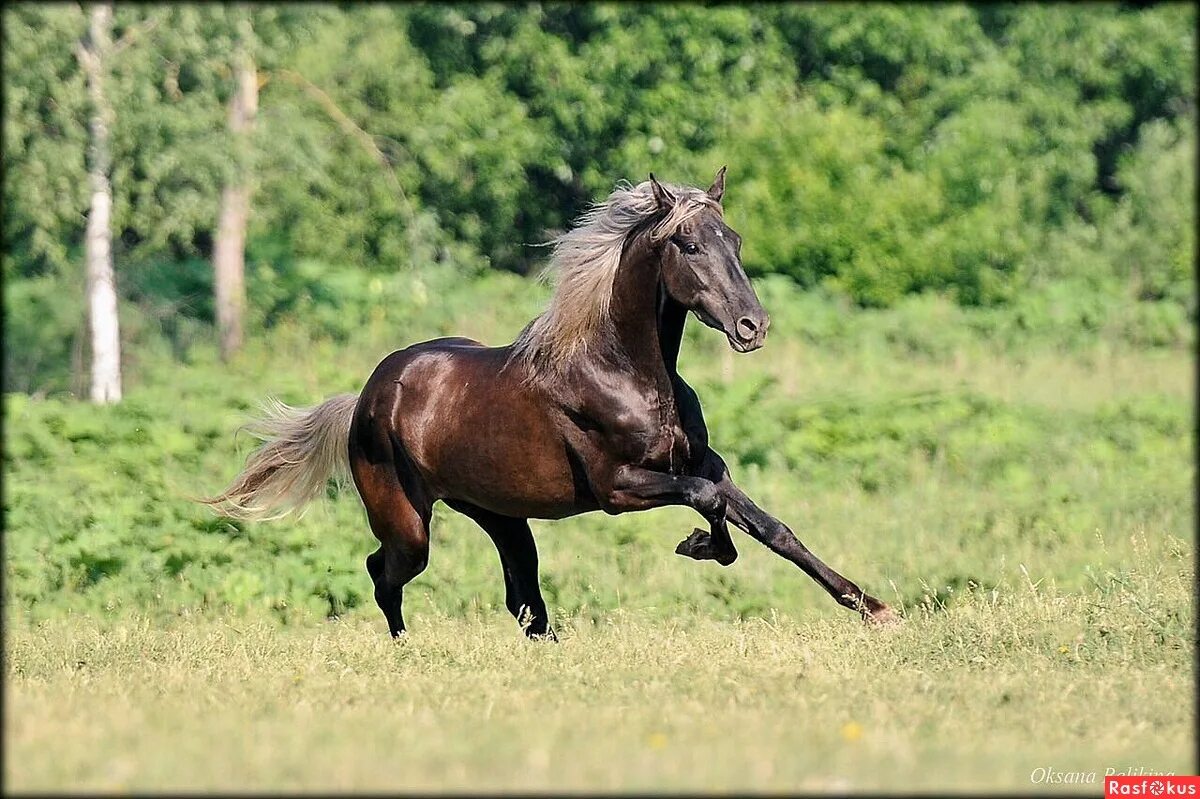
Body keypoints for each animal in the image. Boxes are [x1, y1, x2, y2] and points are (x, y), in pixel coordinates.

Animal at [204, 166, 902, 633]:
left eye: (733, 239)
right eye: (687, 244)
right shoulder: (619, 488)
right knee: (384, 572)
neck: (626, 374)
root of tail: (367, 397)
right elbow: (709, 506)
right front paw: (699, 547)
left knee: (522, 598)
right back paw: (405, 649)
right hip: (409, 523)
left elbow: (770, 527)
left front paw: (872, 607)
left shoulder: (701, 463)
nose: (753, 327)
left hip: (501, 517)